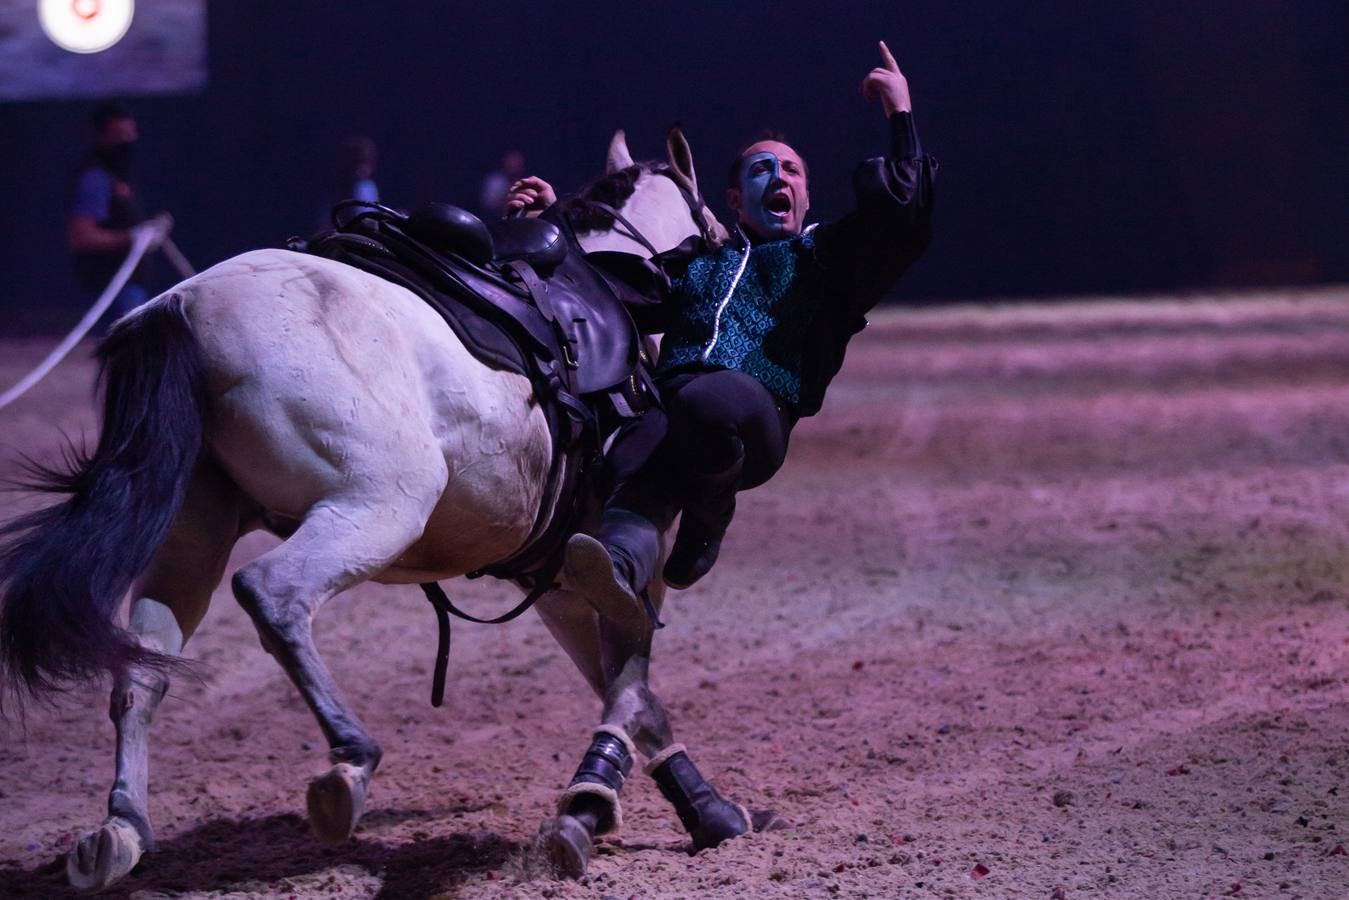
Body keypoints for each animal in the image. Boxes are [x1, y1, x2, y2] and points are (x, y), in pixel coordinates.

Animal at [0, 128, 760, 895]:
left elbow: (620, 685)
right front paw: (675, 811)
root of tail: (180, 311)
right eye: (718, 230)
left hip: (193, 535)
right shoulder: (615, 561)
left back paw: (120, 832)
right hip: (378, 508)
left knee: (143, 665)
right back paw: (349, 762)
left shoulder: (557, 575)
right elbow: (633, 687)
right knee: (271, 593)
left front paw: (631, 806)